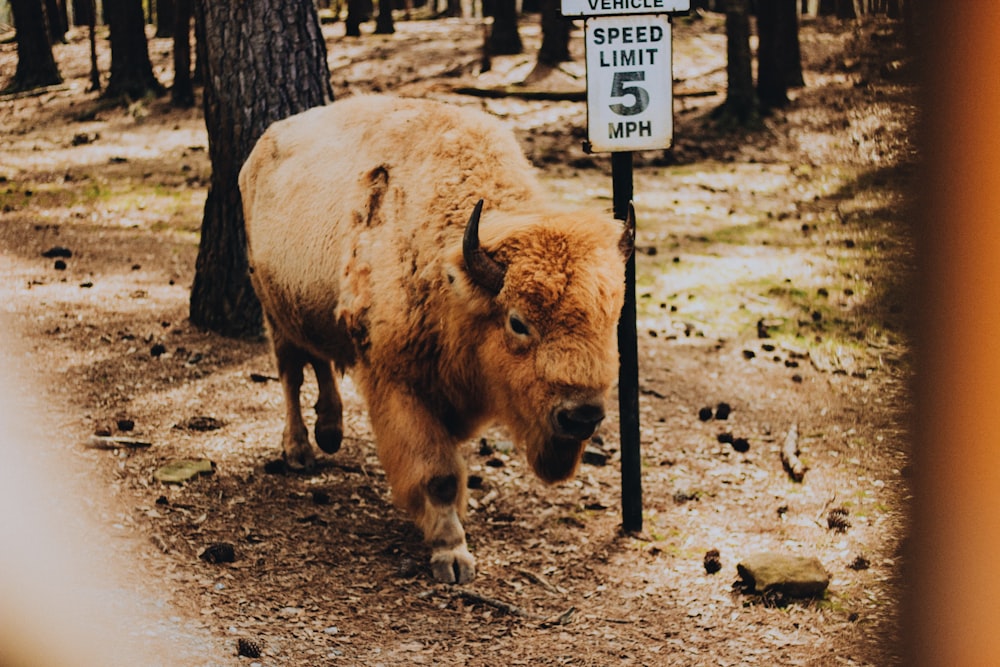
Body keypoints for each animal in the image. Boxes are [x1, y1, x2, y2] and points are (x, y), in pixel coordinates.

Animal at [240, 95, 632, 584]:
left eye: (612, 318)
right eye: (518, 322)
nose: (581, 416)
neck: (449, 275)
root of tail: (260, 148)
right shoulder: (399, 386)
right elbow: (438, 473)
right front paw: (452, 554)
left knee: (323, 360)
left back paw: (330, 431)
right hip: (274, 312)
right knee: (292, 373)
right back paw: (299, 450)